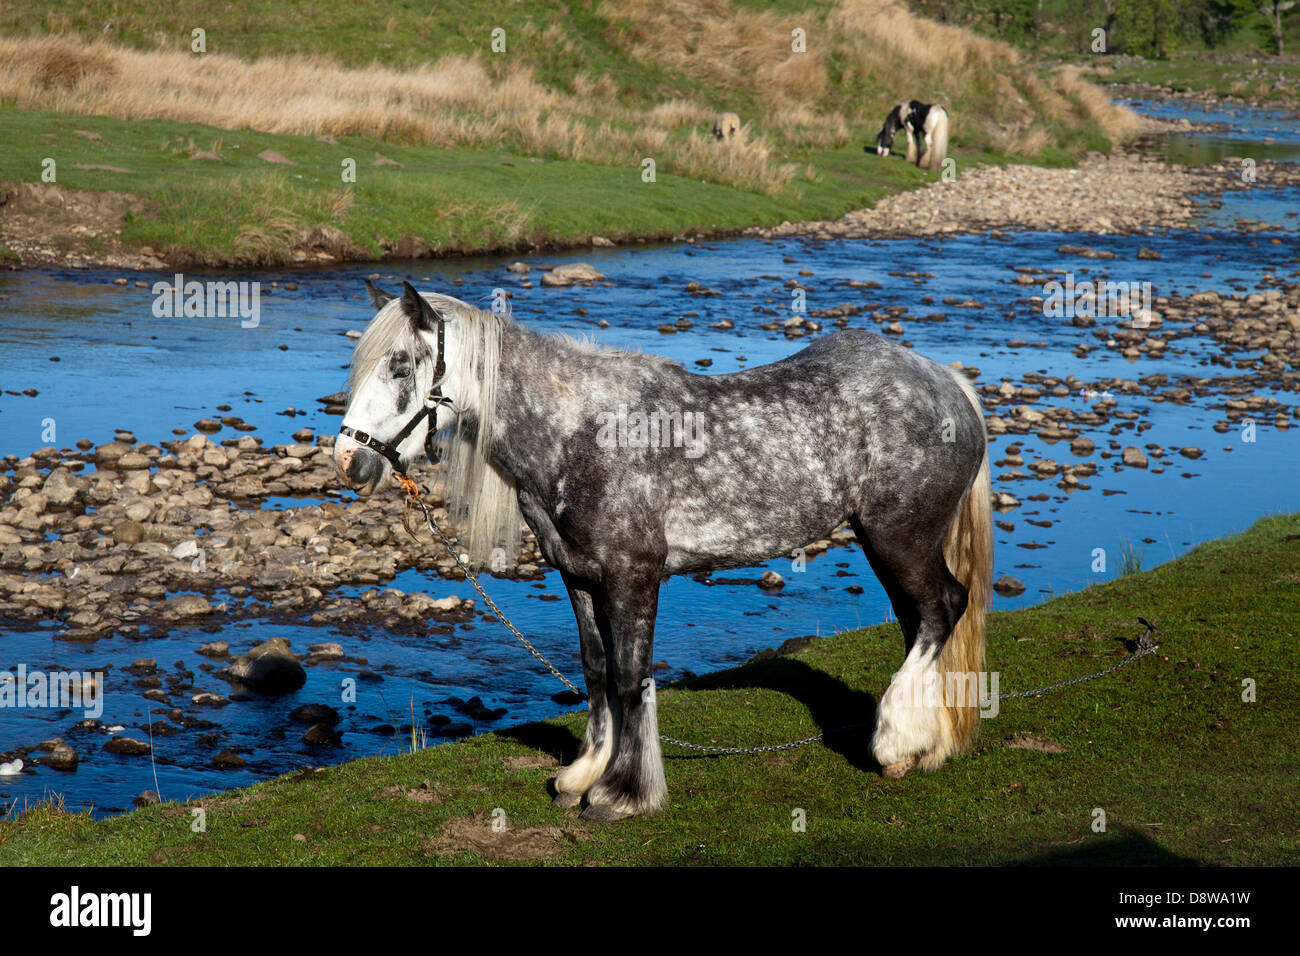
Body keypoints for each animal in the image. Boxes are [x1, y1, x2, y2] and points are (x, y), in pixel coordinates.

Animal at [338, 278, 993, 822]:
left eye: (401, 367)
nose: (348, 461)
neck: (580, 434)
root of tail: (948, 384)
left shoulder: (633, 576)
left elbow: (632, 678)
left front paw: (624, 793)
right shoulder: (579, 577)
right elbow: (597, 670)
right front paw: (583, 775)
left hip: (899, 539)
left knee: (940, 611)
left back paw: (896, 742)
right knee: (918, 621)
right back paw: (924, 744)